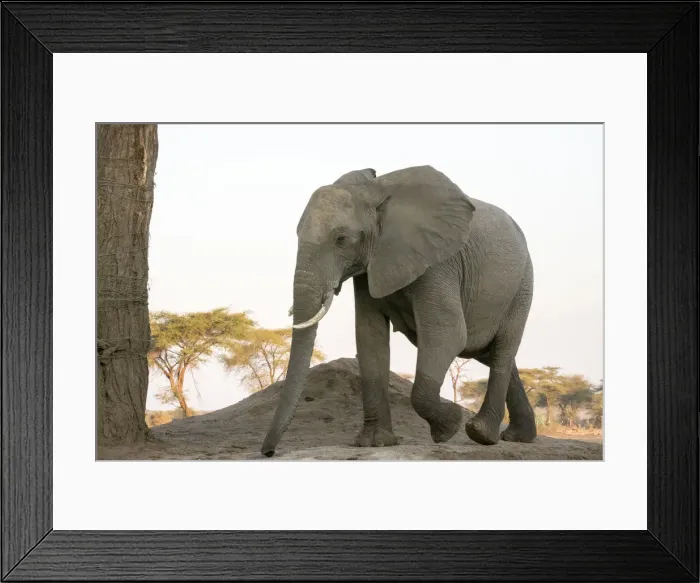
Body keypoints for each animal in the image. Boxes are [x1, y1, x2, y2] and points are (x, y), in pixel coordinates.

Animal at [261, 165, 536, 457]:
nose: (268, 453)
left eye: (341, 239)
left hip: (522, 286)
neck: (376, 191)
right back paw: (518, 436)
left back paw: (481, 434)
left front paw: (449, 426)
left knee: (502, 349)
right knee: (490, 353)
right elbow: (370, 338)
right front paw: (375, 442)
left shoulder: (438, 262)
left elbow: (447, 334)